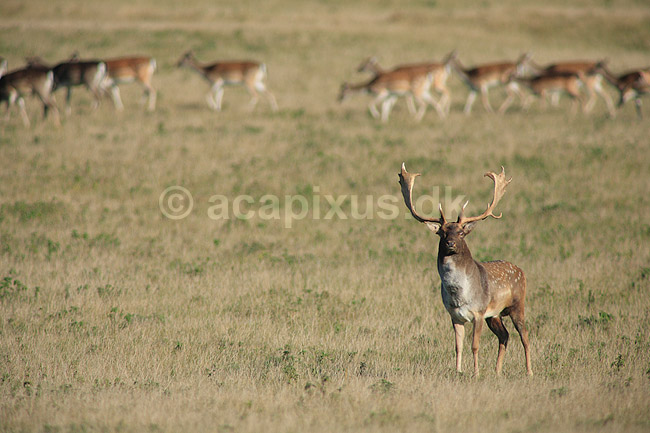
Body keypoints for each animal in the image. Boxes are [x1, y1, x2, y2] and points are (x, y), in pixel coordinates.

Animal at [398, 164, 532, 377]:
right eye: (442, 232)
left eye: (461, 232)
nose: (451, 243)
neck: (458, 295)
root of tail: (521, 270)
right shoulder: (454, 315)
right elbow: (458, 346)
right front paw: (458, 371)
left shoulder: (478, 312)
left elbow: (474, 346)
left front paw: (476, 373)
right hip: (494, 315)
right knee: (504, 336)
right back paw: (497, 371)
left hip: (518, 304)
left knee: (525, 336)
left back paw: (529, 372)